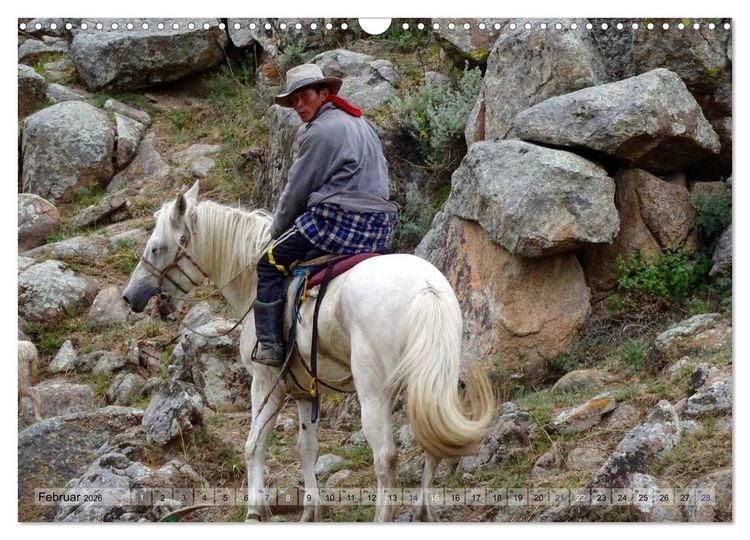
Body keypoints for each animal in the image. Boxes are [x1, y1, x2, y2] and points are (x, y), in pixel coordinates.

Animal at [122, 181, 495, 522]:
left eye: (156, 248)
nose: (130, 297)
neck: (252, 283)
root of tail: (427, 290)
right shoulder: (304, 391)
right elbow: (307, 449)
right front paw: (309, 512)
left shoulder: (266, 383)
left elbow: (253, 446)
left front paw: (255, 511)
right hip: (432, 384)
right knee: (431, 444)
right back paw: (423, 514)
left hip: (374, 392)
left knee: (385, 457)